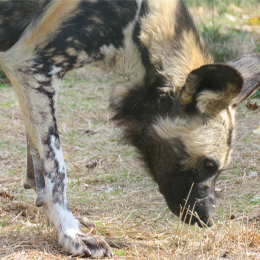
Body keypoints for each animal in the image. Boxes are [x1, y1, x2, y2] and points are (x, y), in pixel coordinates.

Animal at [0, 0, 260, 256]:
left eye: (218, 168)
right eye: (208, 164)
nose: (206, 219)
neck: (140, 22)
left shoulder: (33, 76)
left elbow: (38, 170)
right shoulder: (31, 64)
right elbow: (56, 173)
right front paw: (70, 233)